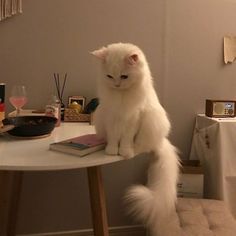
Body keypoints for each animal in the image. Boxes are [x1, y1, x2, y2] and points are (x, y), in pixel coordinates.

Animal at [91, 42, 180, 232]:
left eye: (124, 76)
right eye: (110, 76)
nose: (117, 84)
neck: (121, 96)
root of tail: (161, 141)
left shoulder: (133, 119)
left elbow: (125, 140)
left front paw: (123, 152)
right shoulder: (111, 118)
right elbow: (113, 138)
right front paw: (111, 151)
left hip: (150, 122)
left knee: (141, 146)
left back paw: (132, 152)